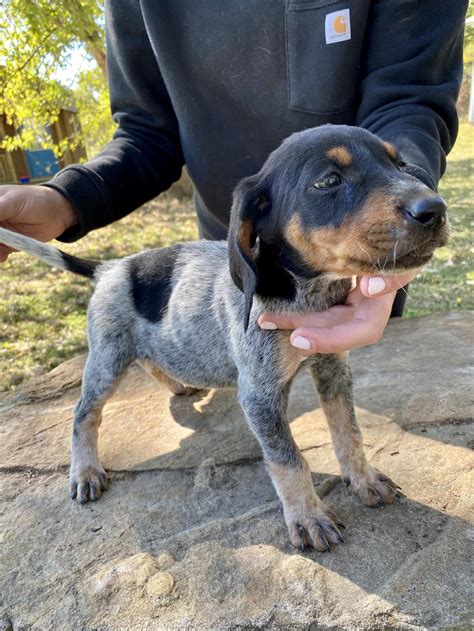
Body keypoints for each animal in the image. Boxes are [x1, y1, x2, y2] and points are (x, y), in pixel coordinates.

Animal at [0, 124, 448, 552]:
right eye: (328, 181)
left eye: (400, 165)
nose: (435, 209)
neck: (305, 294)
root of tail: (109, 267)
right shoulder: (259, 394)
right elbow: (289, 460)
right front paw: (307, 517)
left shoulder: (333, 369)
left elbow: (348, 432)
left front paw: (362, 478)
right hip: (107, 357)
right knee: (84, 413)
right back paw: (85, 470)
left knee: (151, 360)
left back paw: (179, 385)